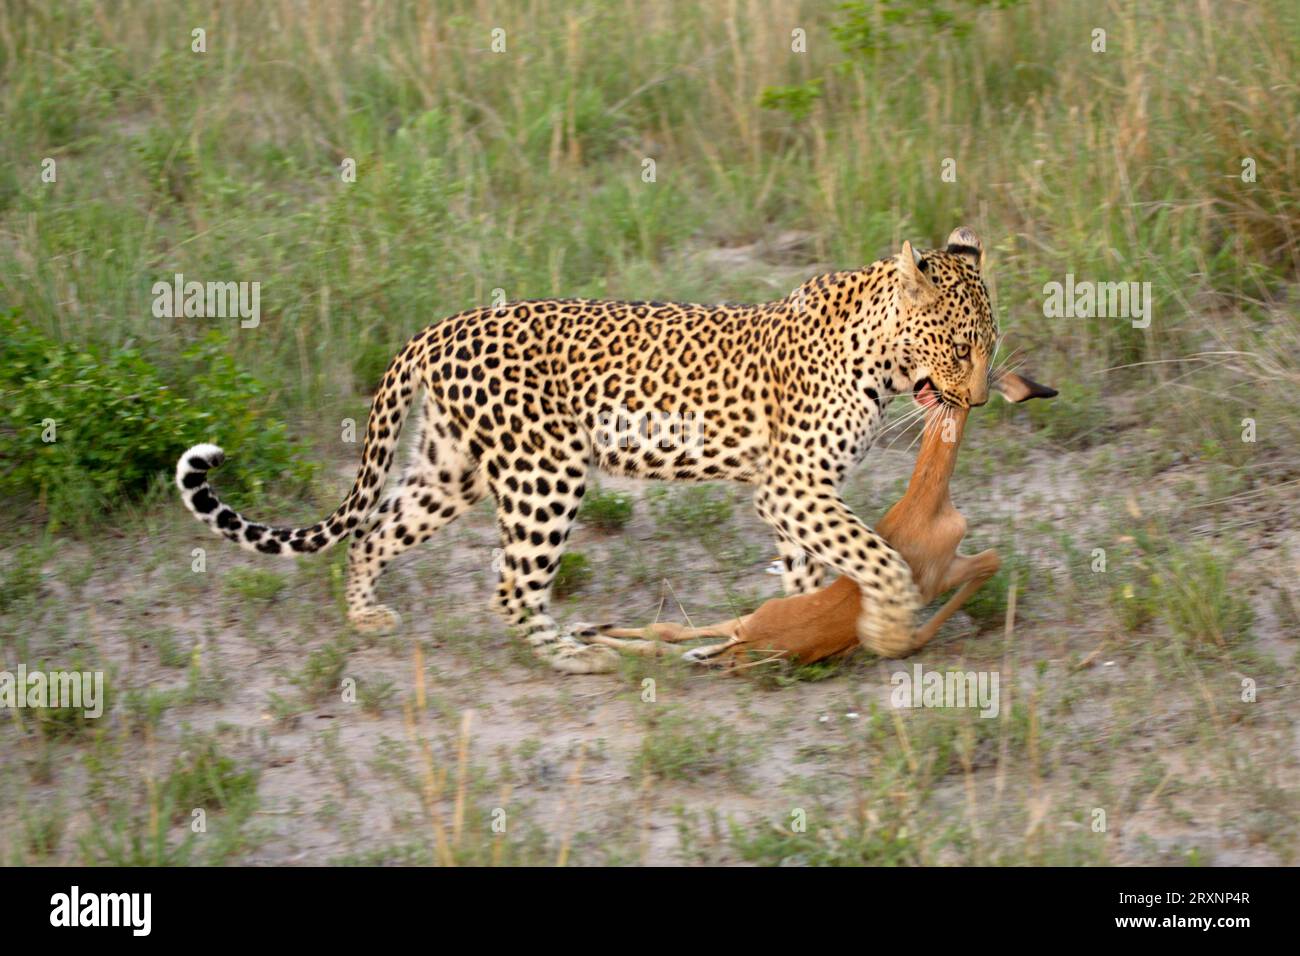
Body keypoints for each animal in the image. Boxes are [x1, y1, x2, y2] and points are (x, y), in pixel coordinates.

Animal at [177, 226, 999, 674]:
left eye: (991, 345)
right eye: (962, 347)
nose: (982, 399)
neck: (882, 357)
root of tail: (439, 326)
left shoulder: (797, 492)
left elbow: (813, 564)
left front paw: (800, 626)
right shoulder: (793, 485)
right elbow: (878, 557)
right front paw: (883, 627)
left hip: (451, 470)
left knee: (374, 533)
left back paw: (366, 617)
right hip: (546, 472)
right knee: (512, 587)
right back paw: (578, 654)